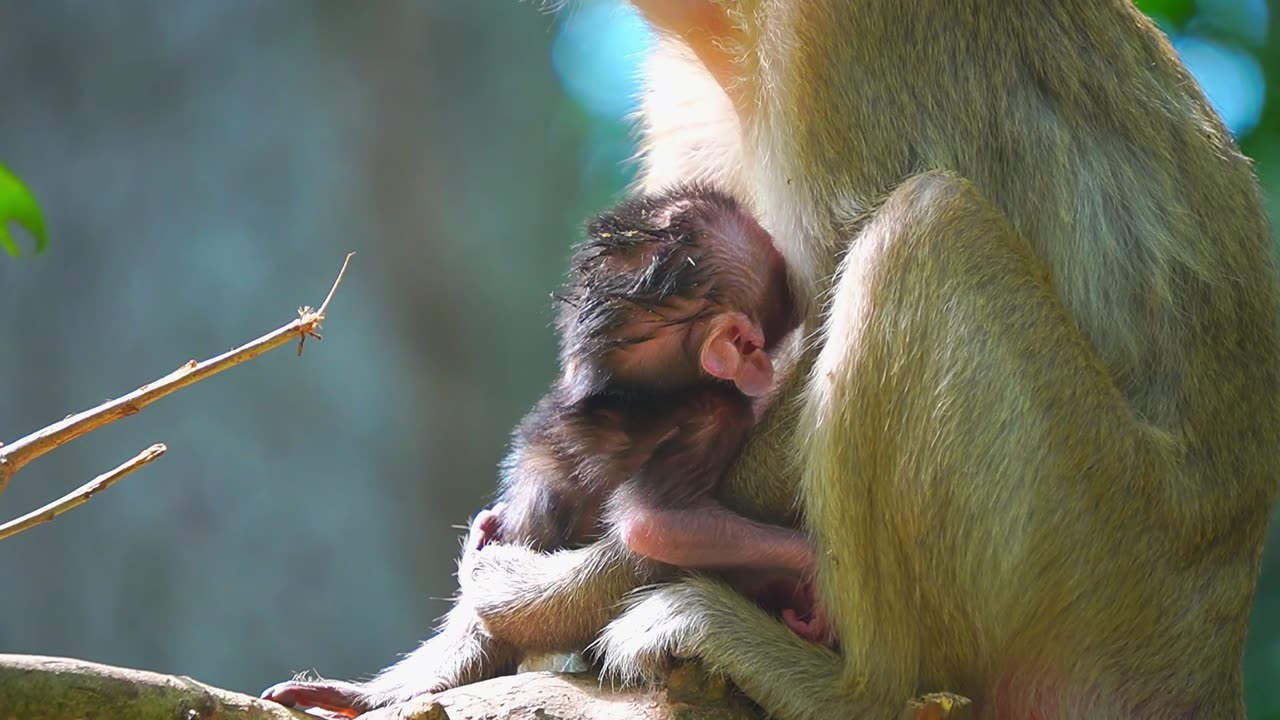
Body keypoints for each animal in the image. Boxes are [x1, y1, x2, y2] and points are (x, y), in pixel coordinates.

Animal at [576, 1, 1280, 717]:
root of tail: (1210, 666)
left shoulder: (833, 35)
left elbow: (809, 315)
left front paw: (584, 582)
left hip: (1114, 558)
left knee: (927, 224)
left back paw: (851, 690)